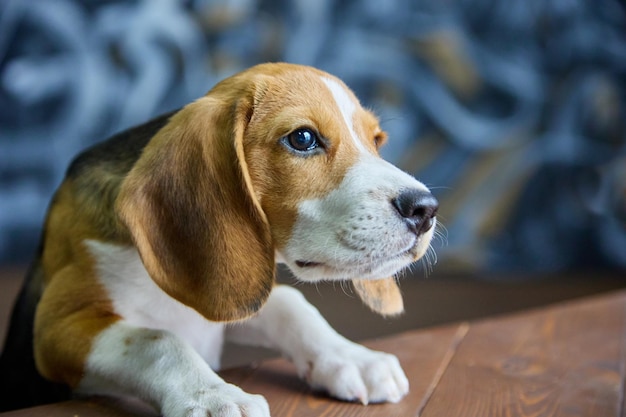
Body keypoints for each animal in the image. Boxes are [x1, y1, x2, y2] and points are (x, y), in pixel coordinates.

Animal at [0, 62, 436, 416]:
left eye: (376, 141)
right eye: (303, 139)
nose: (426, 209)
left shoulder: (232, 296)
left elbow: (290, 303)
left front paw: (352, 357)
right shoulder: (57, 327)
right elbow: (157, 339)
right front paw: (213, 396)